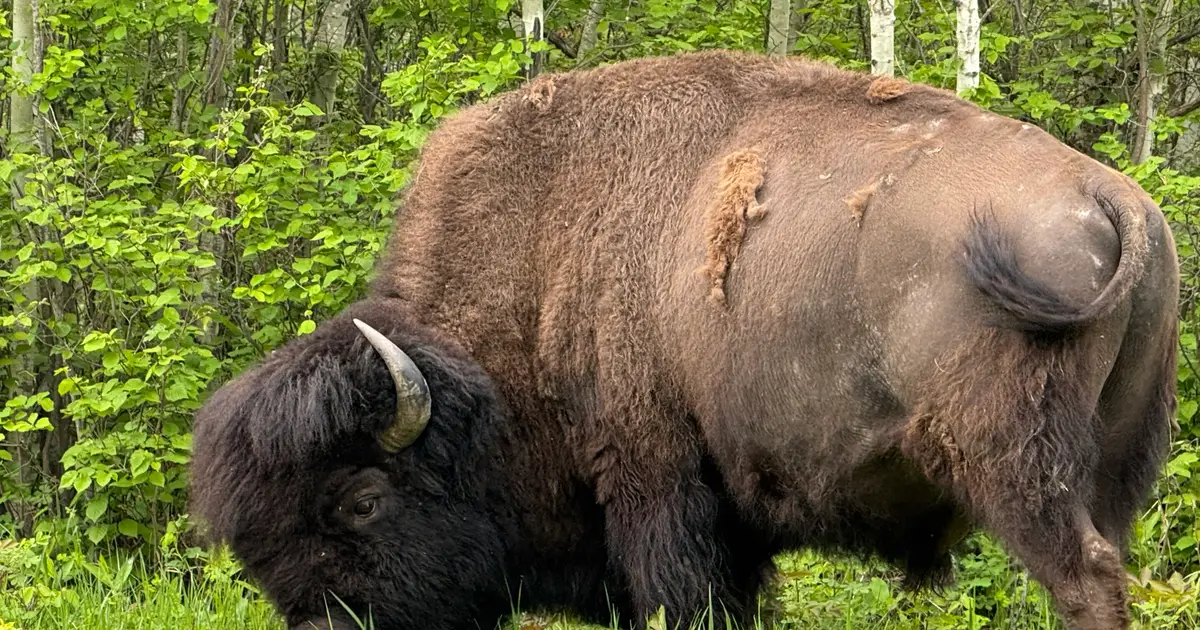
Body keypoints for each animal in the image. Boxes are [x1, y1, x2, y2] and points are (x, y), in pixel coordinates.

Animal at [190, 50, 1179, 630]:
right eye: (255, 538)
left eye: (362, 501)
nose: (322, 626)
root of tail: (1113, 199)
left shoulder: (655, 480)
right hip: (1114, 467)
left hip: (1014, 463)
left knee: (1083, 578)